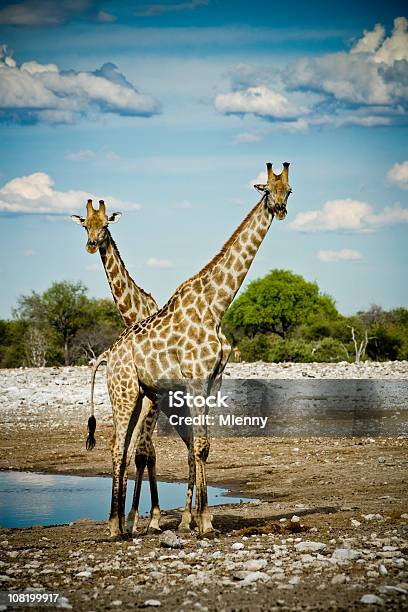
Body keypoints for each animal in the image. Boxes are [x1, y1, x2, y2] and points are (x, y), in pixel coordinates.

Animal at [71, 200, 194, 532]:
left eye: (105, 226)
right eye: (85, 225)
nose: (91, 245)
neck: (134, 312)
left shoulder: (152, 400)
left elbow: (143, 452)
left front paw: (149, 518)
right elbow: (135, 448)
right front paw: (131, 516)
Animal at [101, 161, 294, 536]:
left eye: (289, 190)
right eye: (267, 189)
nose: (279, 209)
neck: (216, 305)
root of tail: (110, 353)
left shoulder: (213, 380)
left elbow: (203, 447)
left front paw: (204, 519)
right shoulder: (194, 376)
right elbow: (199, 445)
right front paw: (201, 523)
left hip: (141, 394)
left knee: (127, 447)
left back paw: (123, 524)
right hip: (124, 391)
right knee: (118, 447)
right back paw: (115, 527)